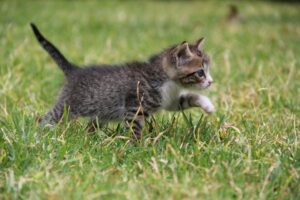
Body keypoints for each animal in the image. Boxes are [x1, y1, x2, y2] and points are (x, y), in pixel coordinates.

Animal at [31, 23, 213, 139]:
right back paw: (40, 133)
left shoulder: (169, 100)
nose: (211, 82)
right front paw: (136, 148)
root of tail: (74, 70)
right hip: (68, 106)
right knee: (49, 117)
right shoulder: (135, 108)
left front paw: (208, 105)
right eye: (200, 72)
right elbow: (134, 129)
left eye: (207, 70)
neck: (165, 80)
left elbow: (187, 98)